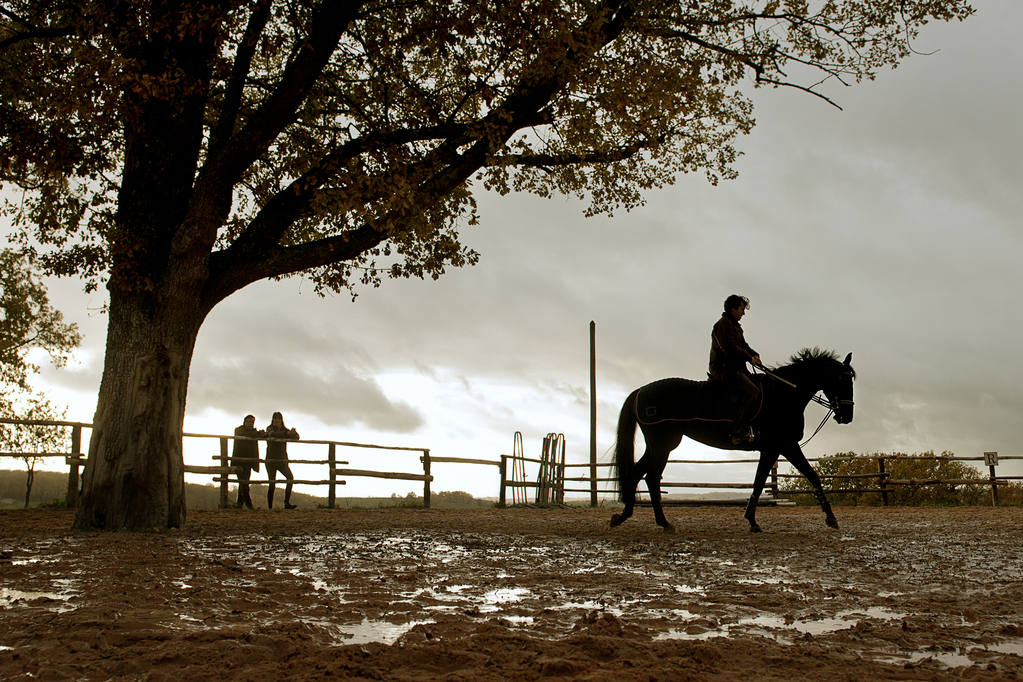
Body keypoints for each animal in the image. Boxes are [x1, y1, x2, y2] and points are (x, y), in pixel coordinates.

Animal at [605, 349, 855, 535]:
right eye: (842, 378)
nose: (847, 416)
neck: (783, 396)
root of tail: (641, 391)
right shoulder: (786, 446)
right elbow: (812, 475)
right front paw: (831, 517)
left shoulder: (770, 450)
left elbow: (759, 482)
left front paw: (752, 521)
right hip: (663, 445)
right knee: (651, 477)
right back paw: (663, 523)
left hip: (658, 445)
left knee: (635, 474)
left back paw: (622, 517)